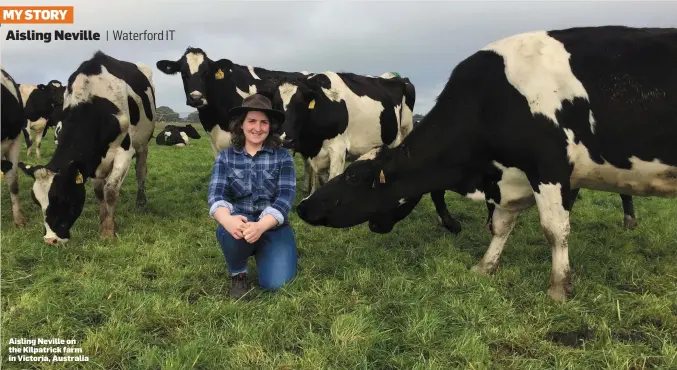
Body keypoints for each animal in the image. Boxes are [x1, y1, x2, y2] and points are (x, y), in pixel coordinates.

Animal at [18, 50, 157, 244]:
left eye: (63, 197)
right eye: (36, 201)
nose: (50, 240)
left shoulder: (124, 152)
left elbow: (110, 190)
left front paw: (108, 231)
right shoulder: (91, 160)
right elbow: (99, 192)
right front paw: (103, 220)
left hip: (143, 143)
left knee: (140, 171)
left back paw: (141, 201)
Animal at [272, 71, 414, 195]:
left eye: (301, 104)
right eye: (276, 105)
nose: (286, 140)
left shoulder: (338, 149)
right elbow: (317, 177)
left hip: (406, 130)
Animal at [294, 26, 676, 304]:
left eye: (354, 176)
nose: (304, 207)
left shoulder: (550, 169)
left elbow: (555, 230)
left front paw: (558, 288)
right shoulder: (512, 177)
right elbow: (501, 226)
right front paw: (485, 266)